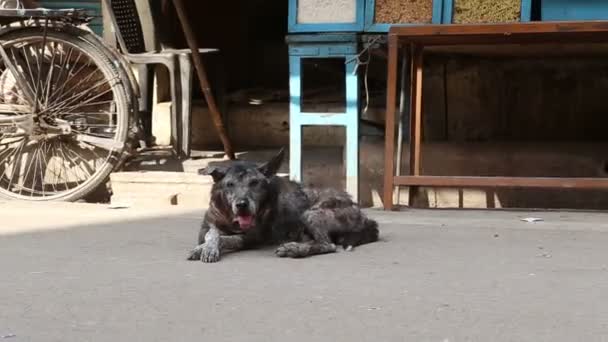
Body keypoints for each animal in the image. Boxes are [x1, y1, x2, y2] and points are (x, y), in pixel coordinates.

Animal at [185, 148, 378, 264]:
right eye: (229, 184)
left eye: (254, 183)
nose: (242, 204)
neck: (230, 217)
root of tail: (365, 216)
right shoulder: (206, 227)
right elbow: (212, 233)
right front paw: (205, 247)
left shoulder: (252, 237)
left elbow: (227, 238)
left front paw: (206, 248)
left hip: (311, 213)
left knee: (327, 244)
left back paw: (294, 249)